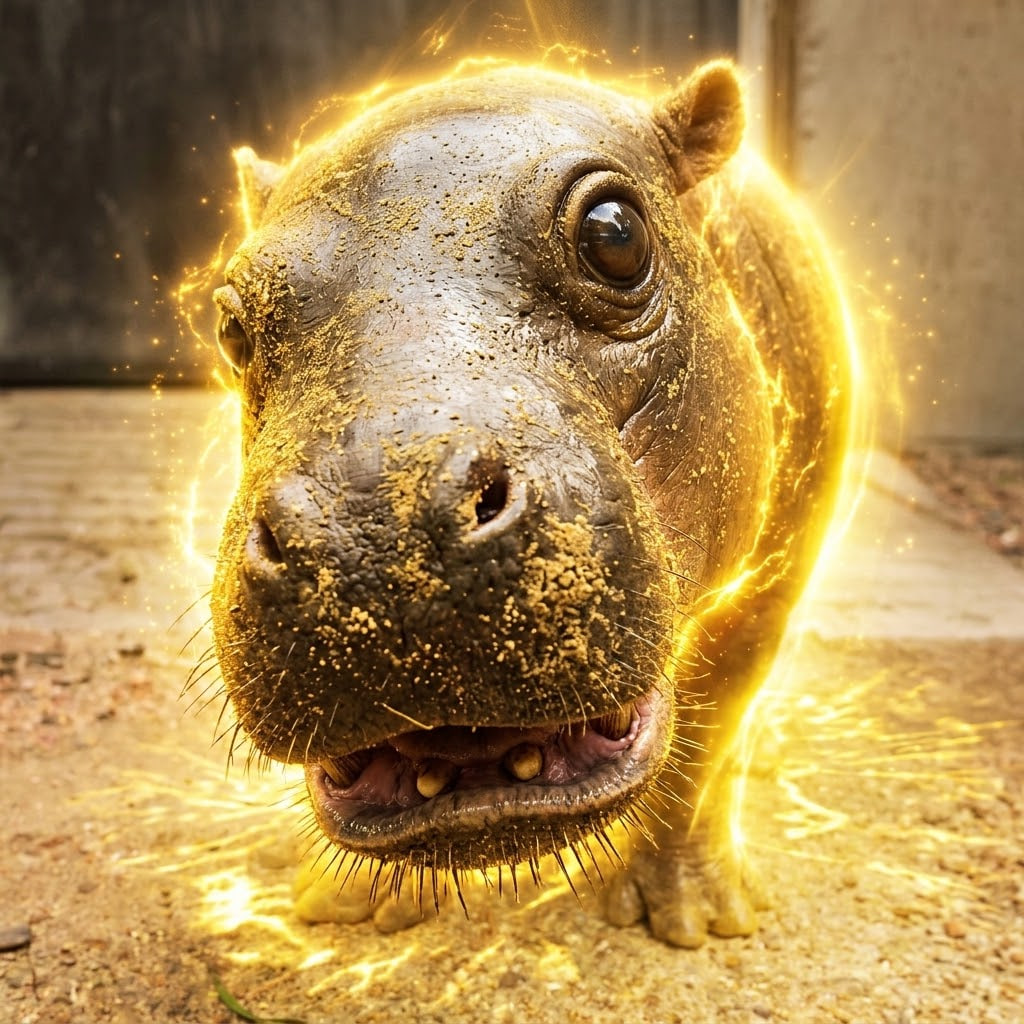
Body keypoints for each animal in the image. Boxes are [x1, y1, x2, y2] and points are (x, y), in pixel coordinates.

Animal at [208, 59, 852, 947]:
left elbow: (710, 721)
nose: (375, 527)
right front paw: (350, 906)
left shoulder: (768, 588)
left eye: (616, 234)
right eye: (231, 328)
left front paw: (695, 922)